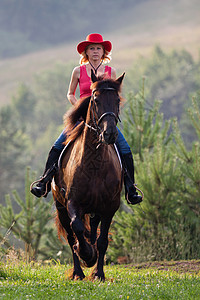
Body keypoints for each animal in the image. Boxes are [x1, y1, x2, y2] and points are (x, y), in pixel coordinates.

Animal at [52, 71, 125, 282]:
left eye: (117, 100)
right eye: (95, 99)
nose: (109, 134)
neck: (94, 163)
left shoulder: (109, 207)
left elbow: (102, 241)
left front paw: (98, 273)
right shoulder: (72, 203)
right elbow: (76, 229)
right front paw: (86, 255)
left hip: (95, 210)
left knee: (92, 232)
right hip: (61, 207)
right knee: (71, 236)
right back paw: (78, 272)